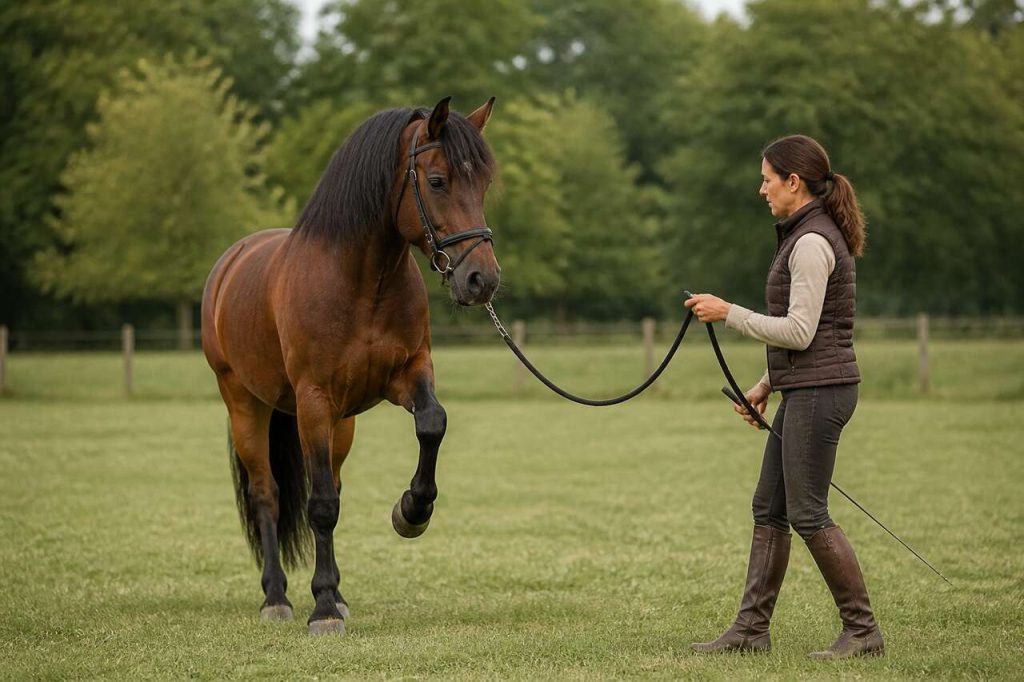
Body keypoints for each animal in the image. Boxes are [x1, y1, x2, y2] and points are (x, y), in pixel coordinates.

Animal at [200, 97, 500, 635]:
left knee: (330, 484)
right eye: (438, 181)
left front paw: (412, 511)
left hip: (341, 424)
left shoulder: (406, 376)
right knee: (268, 495)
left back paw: (336, 593)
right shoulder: (313, 401)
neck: (360, 282)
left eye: (483, 183)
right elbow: (320, 506)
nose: (480, 279)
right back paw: (276, 597)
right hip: (245, 405)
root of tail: (231, 263)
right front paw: (320, 608)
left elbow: (432, 423)